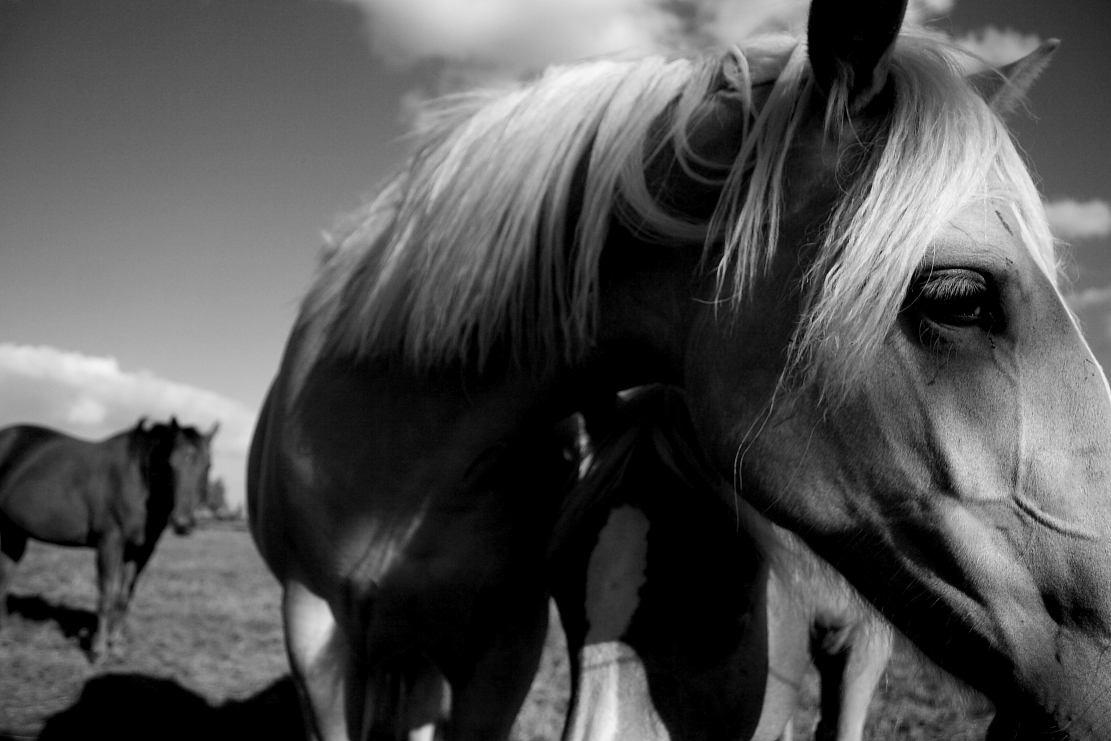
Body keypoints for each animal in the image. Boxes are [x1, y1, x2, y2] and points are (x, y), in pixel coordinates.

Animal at [0, 417, 217, 658]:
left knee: (5, 576)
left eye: (207, 466)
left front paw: (116, 643)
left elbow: (124, 596)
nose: (183, 523)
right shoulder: (110, 543)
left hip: (13, 533)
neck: (135, 481)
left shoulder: (141, 551)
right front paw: (99, 649)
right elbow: (106, 592)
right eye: (170, 463)